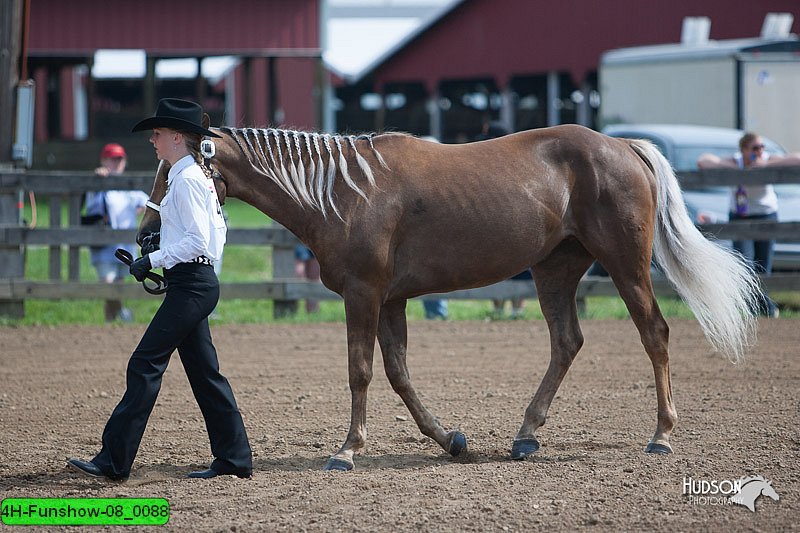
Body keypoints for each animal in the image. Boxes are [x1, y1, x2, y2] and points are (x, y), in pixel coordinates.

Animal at [134, 121, 760, 470]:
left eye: (172, 166)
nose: (144, 236)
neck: (342, 190)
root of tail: (623, 146)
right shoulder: (391, 300)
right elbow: (398, 373)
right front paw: (451, 440)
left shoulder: (364, 294)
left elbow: (361, 370)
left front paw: (347, 451)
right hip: (555, 270)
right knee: (566, 342)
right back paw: (525, 436)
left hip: (626, 266)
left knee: (654, 332)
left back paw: (661, 436)